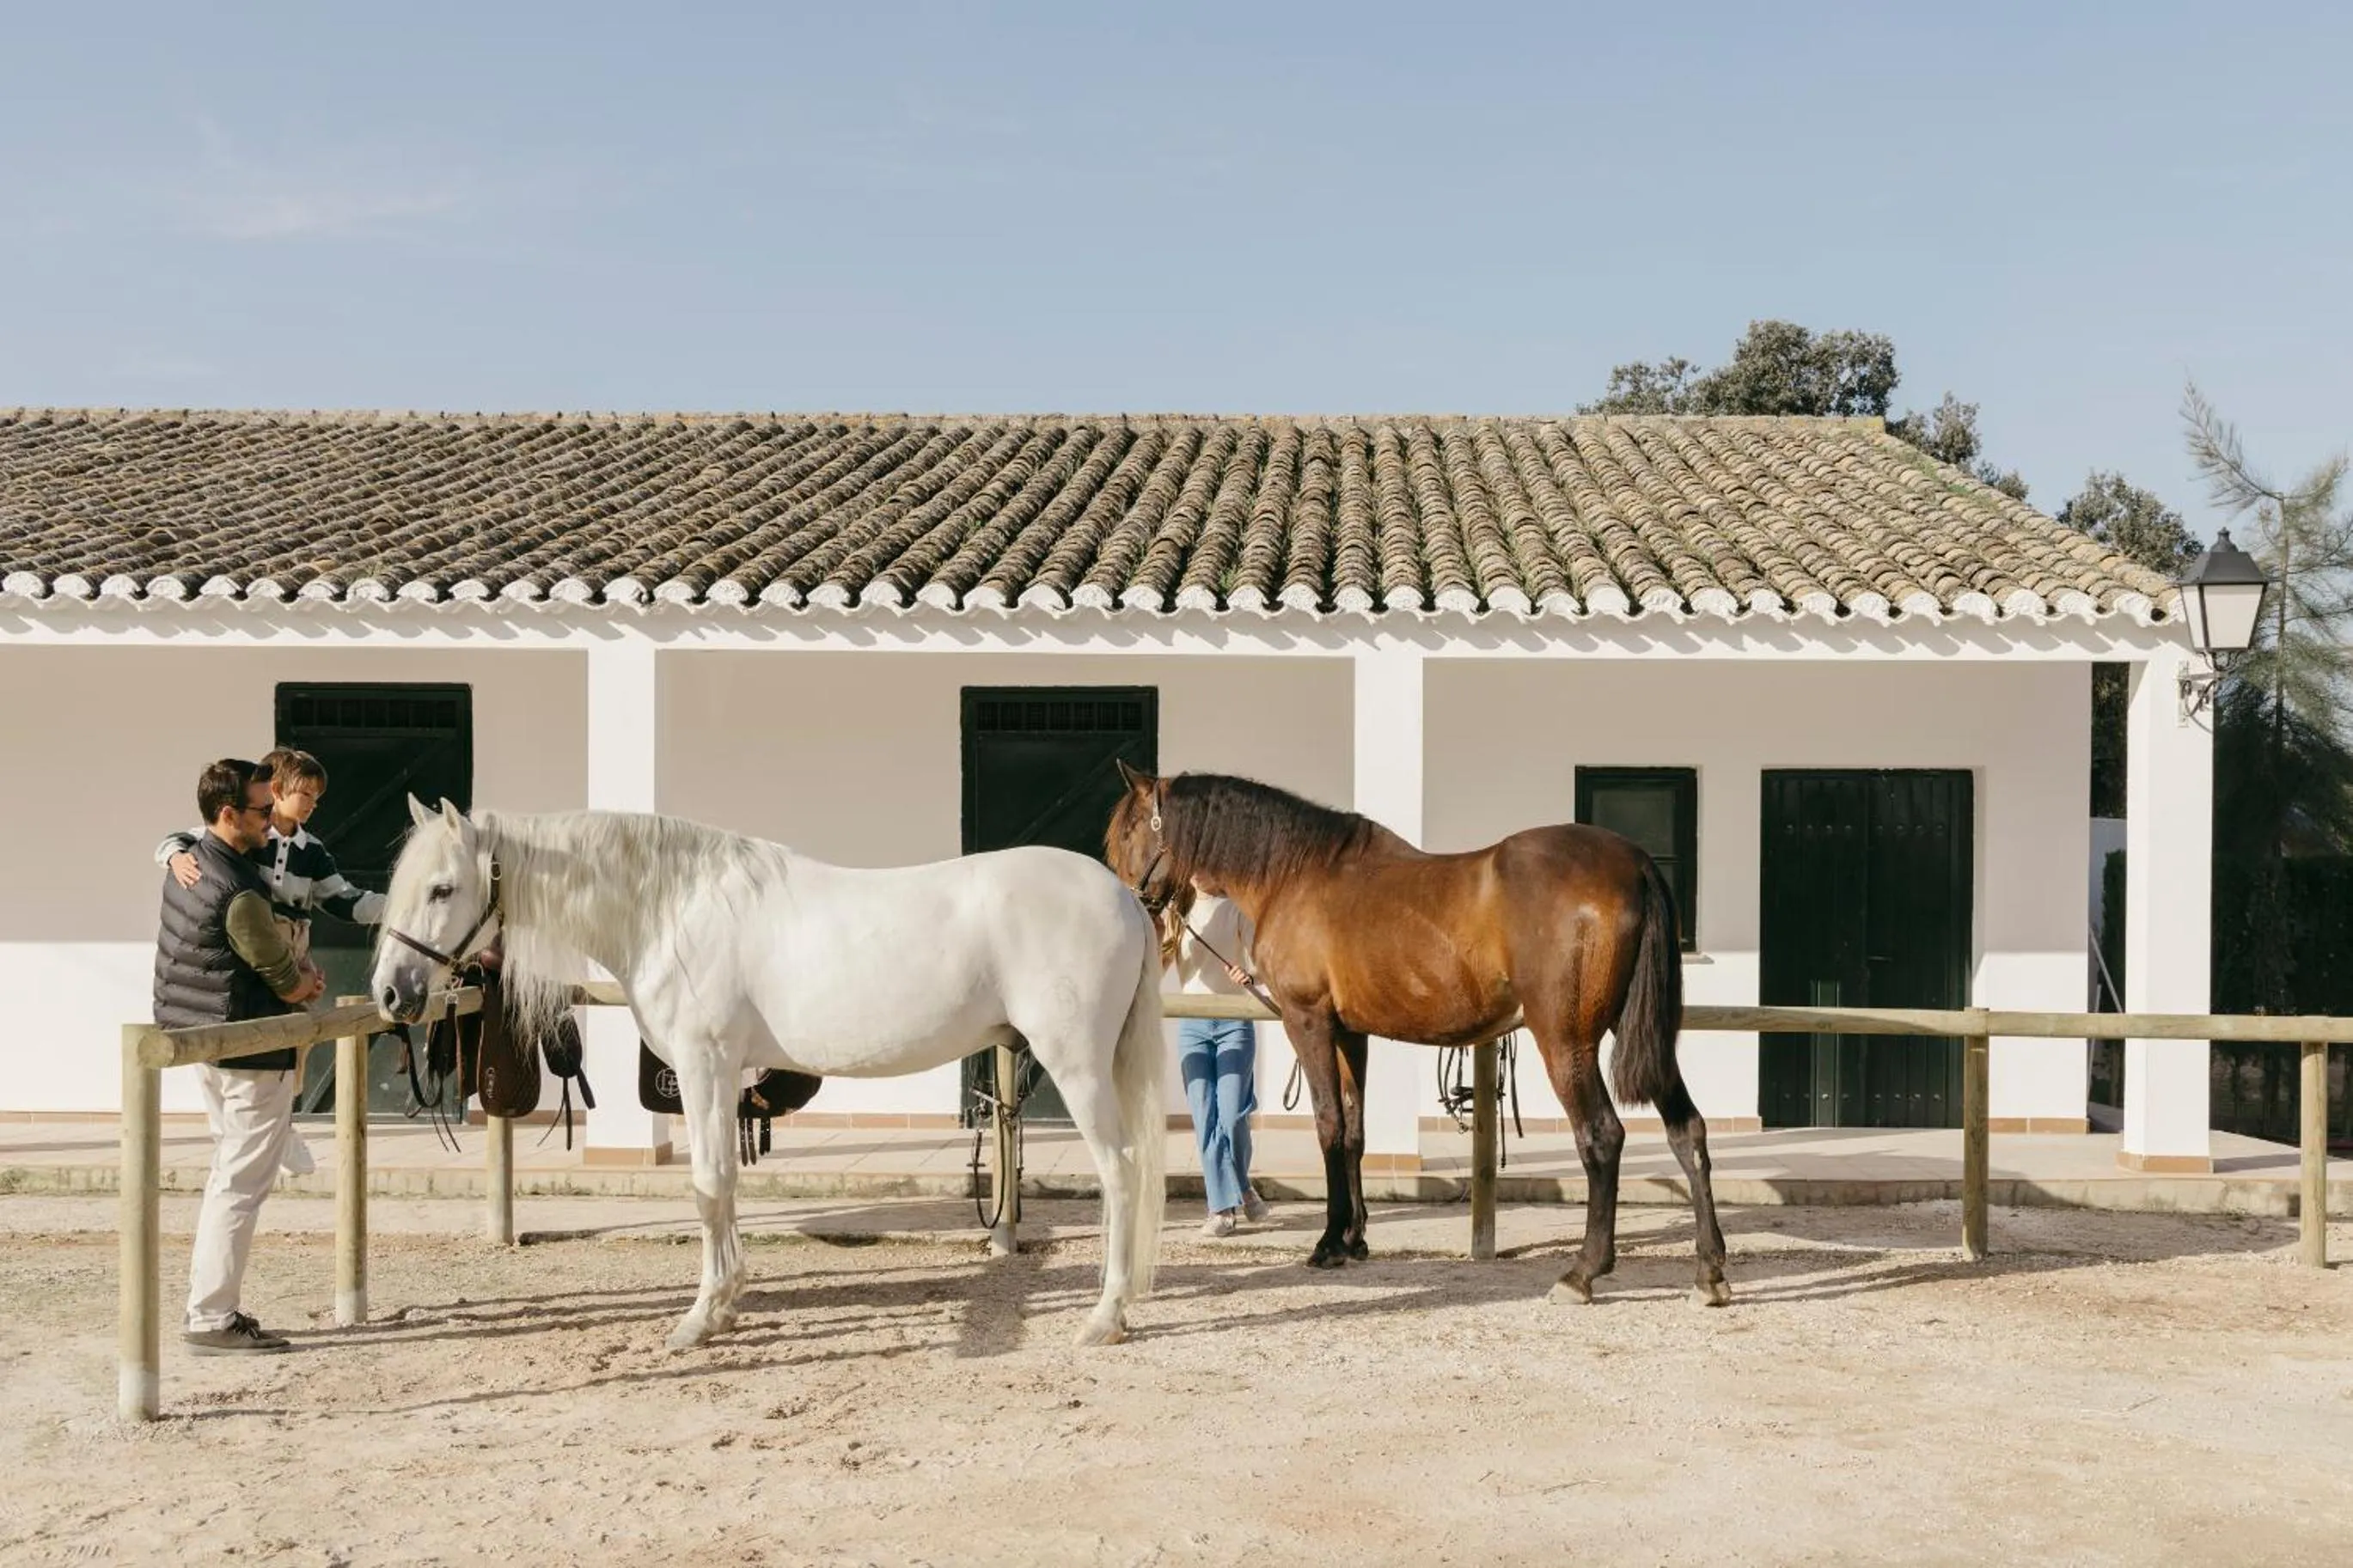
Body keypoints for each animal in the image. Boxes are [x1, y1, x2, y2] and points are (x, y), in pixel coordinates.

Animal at [371, 797, 1168, 1348]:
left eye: (442, 888)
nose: (391, 993)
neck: (670, 908)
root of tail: (1124, 897)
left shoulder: (704, 1066)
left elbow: (707, 1185)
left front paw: (700, 1316)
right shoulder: (723, 1076)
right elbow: (723, 1185)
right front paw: (724, 1305)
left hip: (1078, 1065)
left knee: (1122, 1170)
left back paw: (1106, 1315)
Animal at [1105, 764, 1728, 1307]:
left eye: (1131, 830)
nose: (1131, 912)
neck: (1296, 873)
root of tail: (1636, 863)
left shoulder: (1308, 1021)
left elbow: (1329, 1127)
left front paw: (1328, 1243)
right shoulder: (1350, 1033)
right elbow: (1354, 1131)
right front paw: (1355, 1238)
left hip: (1565, 1042)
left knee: (1602, 1138)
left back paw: (1582, 1273)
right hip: (1645, 1037)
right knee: (1687, 1130)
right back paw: (1709, 1272)